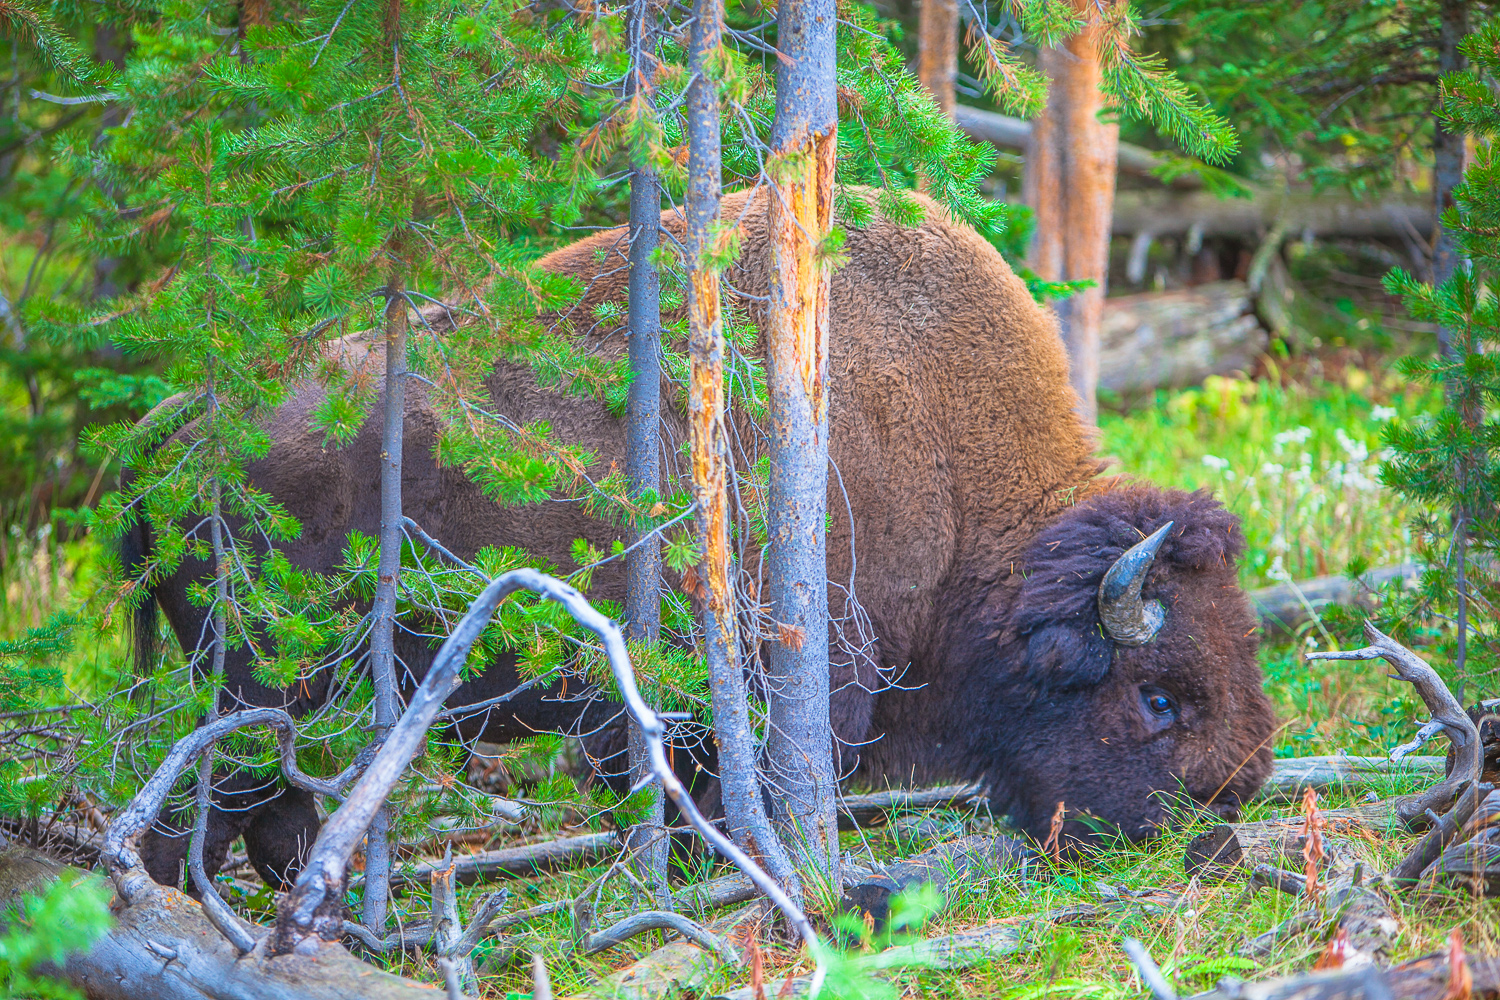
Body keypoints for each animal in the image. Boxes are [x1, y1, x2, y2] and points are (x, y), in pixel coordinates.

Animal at [132, 185, 1278, 893]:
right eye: (1159, 698)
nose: (1222, 823)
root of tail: (174, 430)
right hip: (259, 692)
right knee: (198, 823)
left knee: (264, 825)